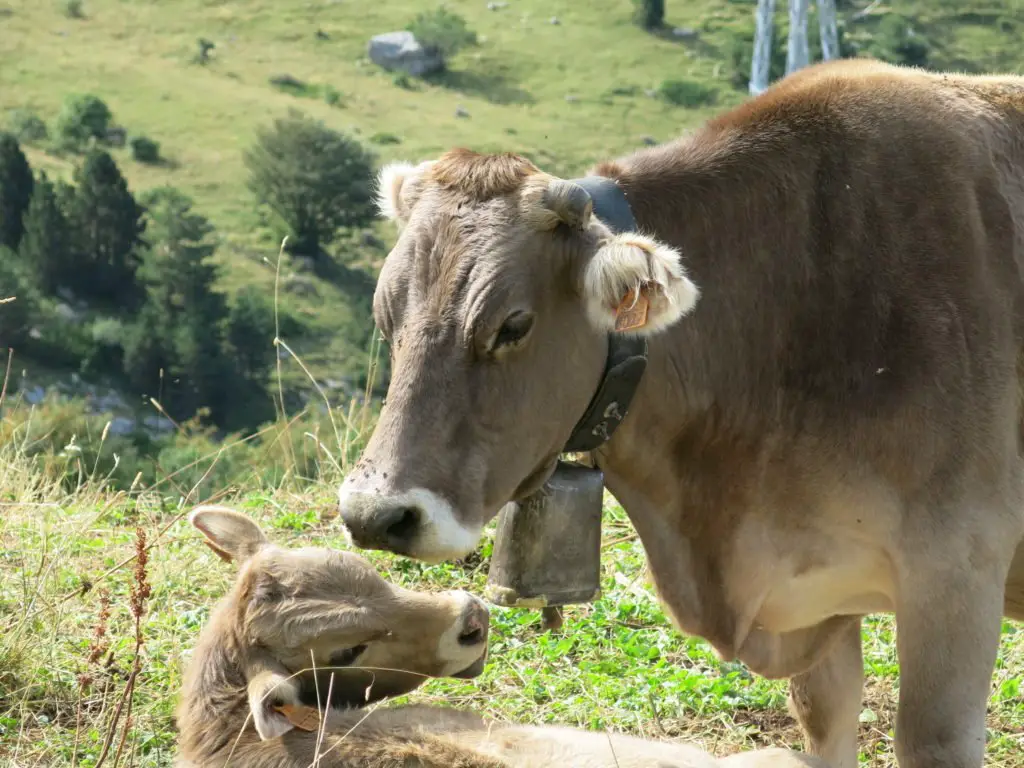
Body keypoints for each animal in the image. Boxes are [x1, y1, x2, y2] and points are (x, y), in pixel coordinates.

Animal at [339, 60, 1024, 768]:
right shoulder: (812, 600)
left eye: (513, 325)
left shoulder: (957, 568)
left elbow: (933, 737)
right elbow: (823, 721)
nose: (375, 516)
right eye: (385, 314)